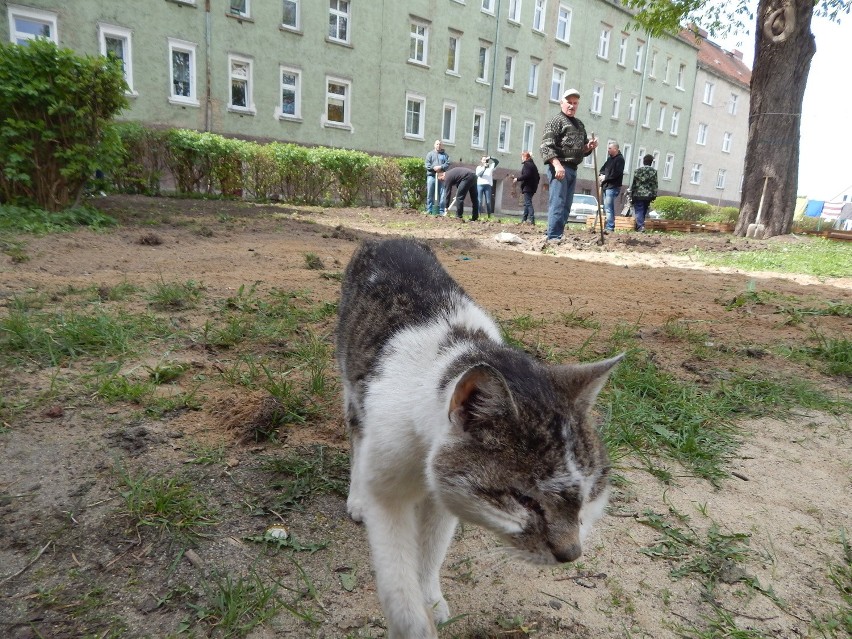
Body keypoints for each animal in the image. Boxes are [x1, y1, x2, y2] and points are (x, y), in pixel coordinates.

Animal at [336, 239, 624, 639]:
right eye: (523, 499)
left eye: (588, 495)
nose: (571, 554)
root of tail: (388, 239)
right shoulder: (388, 488)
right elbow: (397, 579)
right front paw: (414, 622)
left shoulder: (444, 495)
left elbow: (431, 552)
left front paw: (432, 600)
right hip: (351, 383)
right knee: (357, 434)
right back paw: (356, 495)